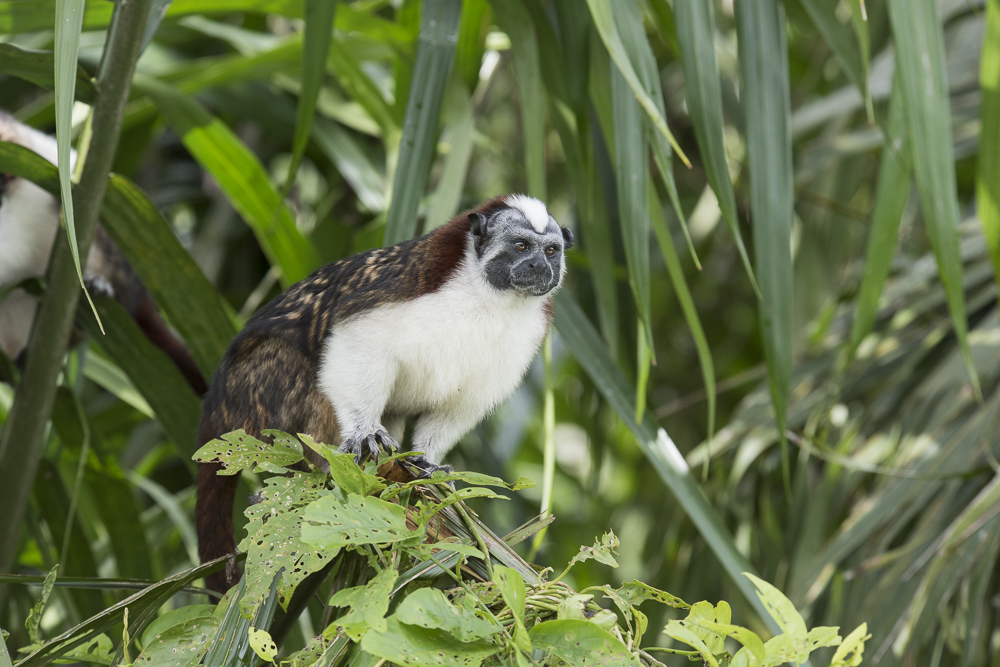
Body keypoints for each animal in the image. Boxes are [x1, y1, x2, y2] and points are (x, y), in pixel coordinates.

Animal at [196, 194, 574, 592]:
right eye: (521, 246)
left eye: (551, 251)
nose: (539, 266)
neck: (487, 297)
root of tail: (218, 401)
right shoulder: (404, 290)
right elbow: (356, 340)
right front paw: (365, 432)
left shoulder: (524, 338)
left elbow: (462, 404)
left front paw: (428, 462)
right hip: (252, 395)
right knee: (293, 366)